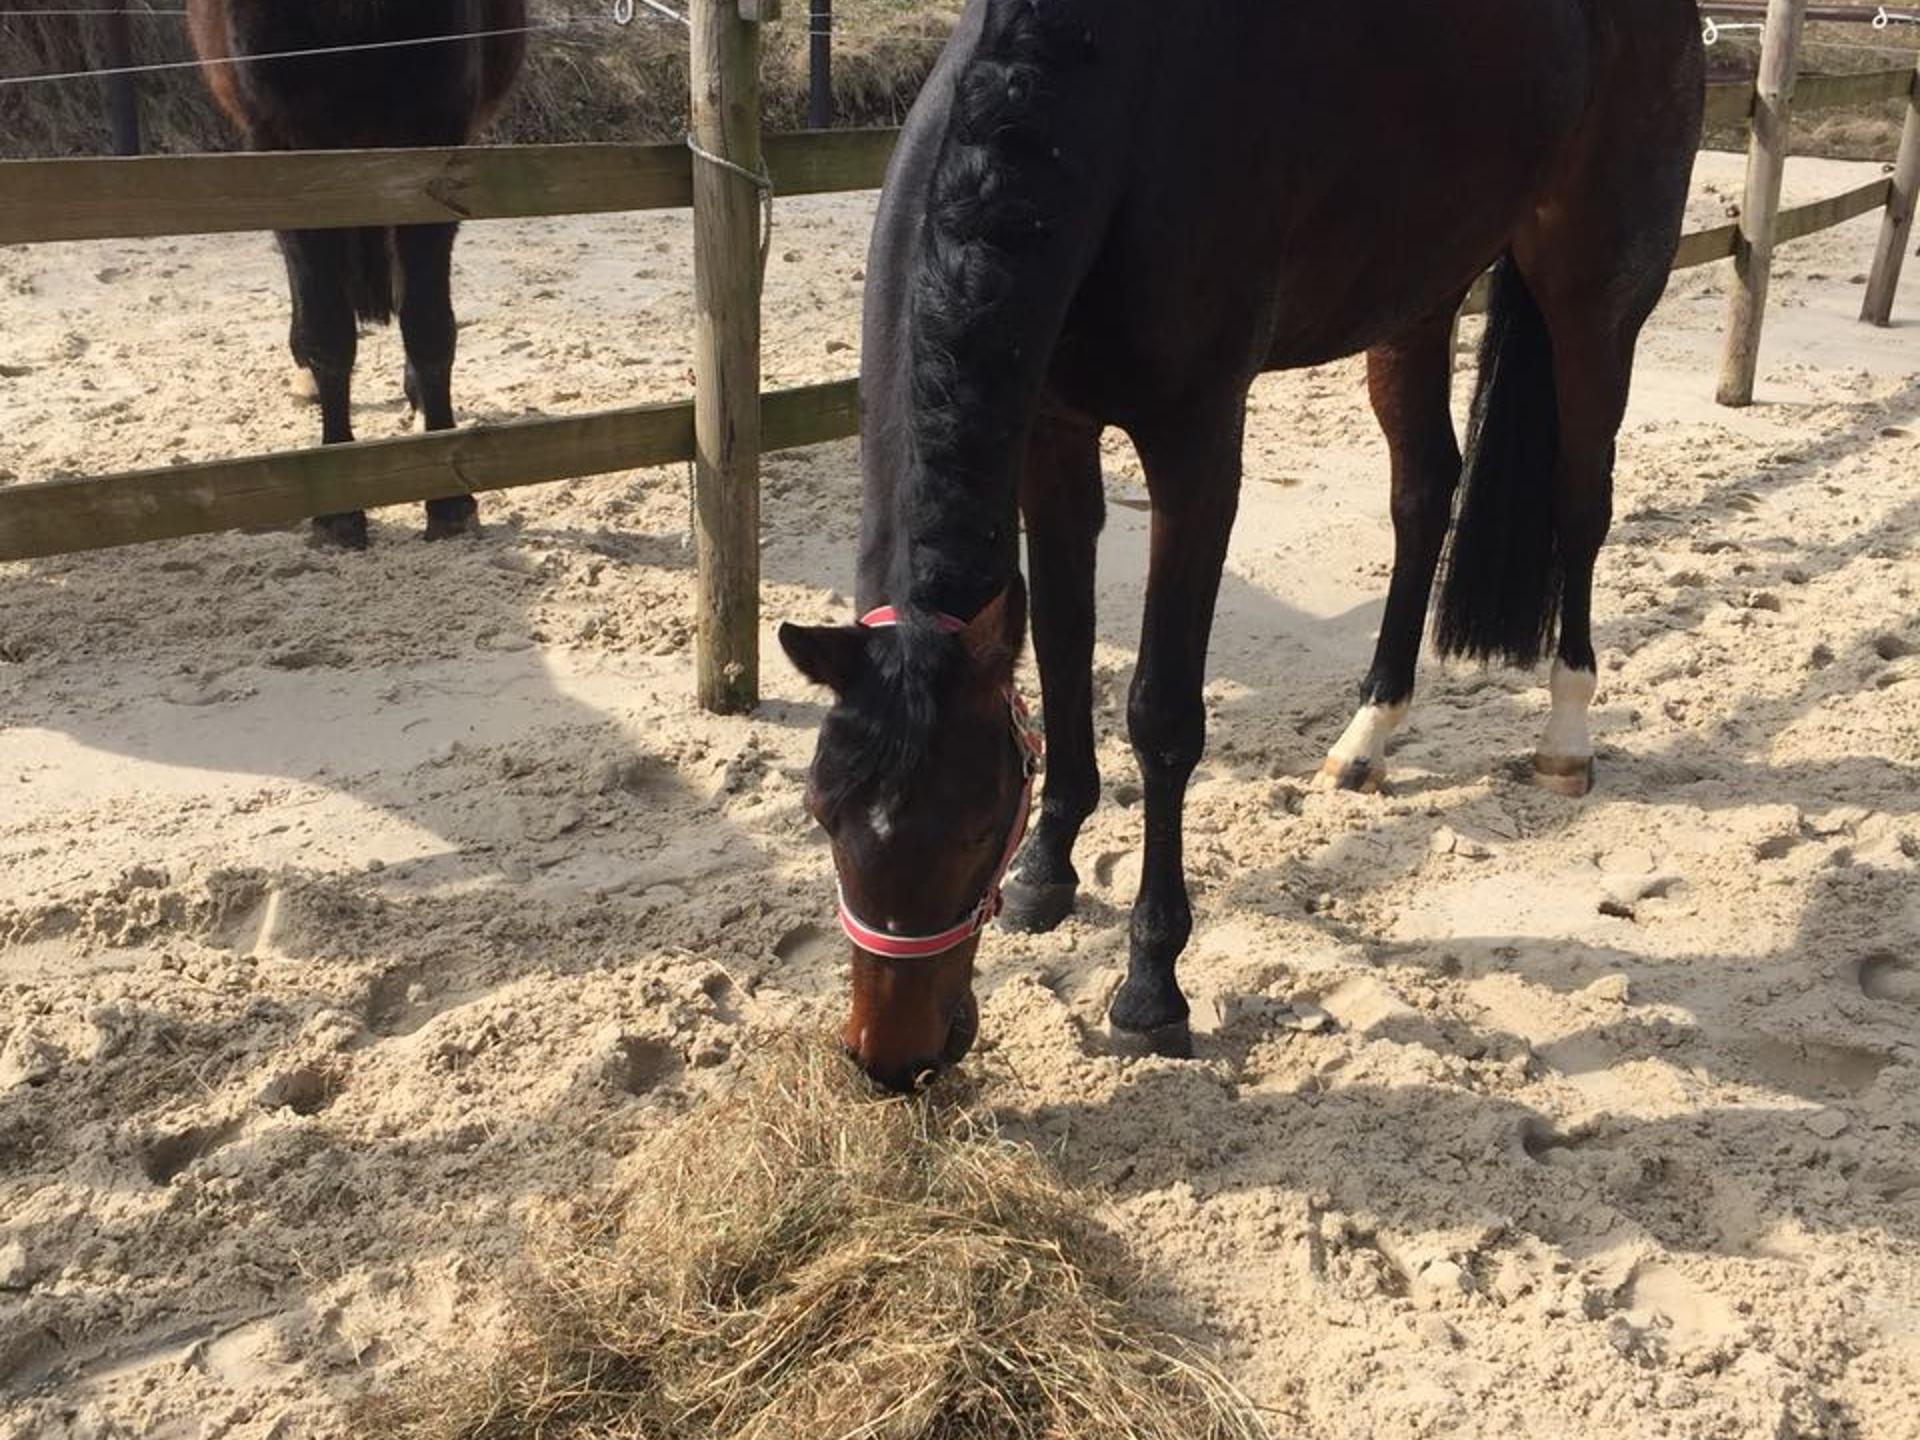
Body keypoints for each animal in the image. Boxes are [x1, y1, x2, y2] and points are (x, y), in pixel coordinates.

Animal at [187, 1, 528, 547]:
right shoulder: (288, 151)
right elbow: (327, 332)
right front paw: (339, 507)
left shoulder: (432, 148)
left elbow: (429, 327)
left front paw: (448, 499)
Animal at [778, 0, 1704, 1092]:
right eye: (824, 814)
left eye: (974, 818)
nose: (891, 1061)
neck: (1107, 111)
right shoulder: (1052, 434)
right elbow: (1060, 651)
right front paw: (1049, 869)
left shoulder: (1196, 450)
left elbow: (1162, 715)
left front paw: (1151, 987)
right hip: (1418, 293)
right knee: (1423, 492)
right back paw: (1367, 735)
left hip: (1596, 287)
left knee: (1580, 499)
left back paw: (1566, 734)